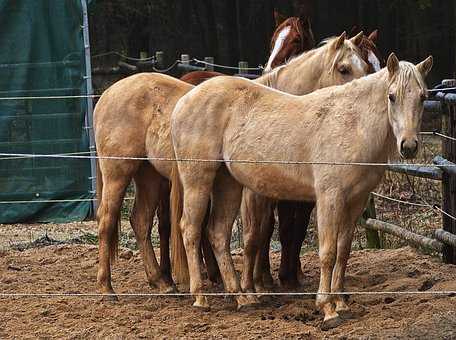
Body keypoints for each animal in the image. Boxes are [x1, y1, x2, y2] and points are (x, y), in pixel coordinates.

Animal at [93, 31, 366, 298]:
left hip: (148, 175)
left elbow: (266, 232)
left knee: (140, 221)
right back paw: (107, 287)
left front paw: (261, 281)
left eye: (364, 65)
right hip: (118, 173)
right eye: (343, 69)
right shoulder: (252, 194)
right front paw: (254, 285)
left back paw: (162, 282)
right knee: (107, 220)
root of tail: (106, 95)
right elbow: (254, 236)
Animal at [170, 53, 432, 330]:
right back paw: (201, 298)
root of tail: (184, 100)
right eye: (391, 96)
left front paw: (341, 303)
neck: (352, 124)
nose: (409, 146)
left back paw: (242, 298)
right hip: (198, 180)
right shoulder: (329, 198)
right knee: (190, 229)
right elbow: (328, 253)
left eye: (423, 97)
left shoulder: (355, 202)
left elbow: (343, 251)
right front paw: (328, 309)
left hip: (228, 184)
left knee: (218, 233)